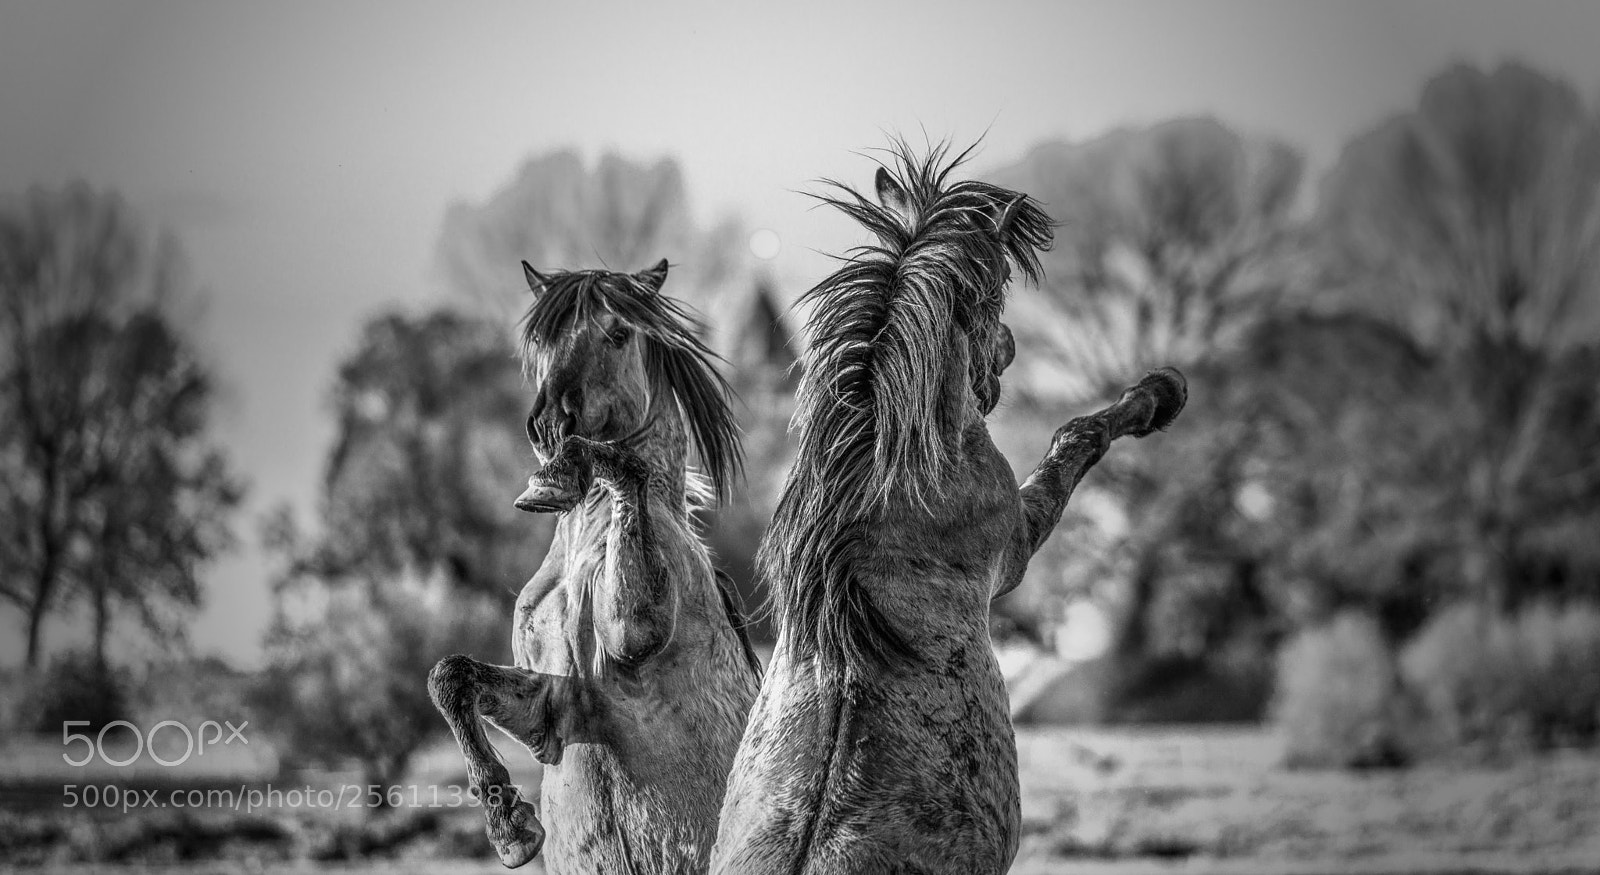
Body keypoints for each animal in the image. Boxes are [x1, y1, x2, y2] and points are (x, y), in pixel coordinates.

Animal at [428, 259, 762, 873]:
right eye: (541, 342)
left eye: (619, 332)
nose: (547, 427)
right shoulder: (552, 711)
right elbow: (451, 677)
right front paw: (512, 830)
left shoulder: (634, 630)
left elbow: (620, 463)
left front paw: (556, 478)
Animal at [710, 145, 1186, 874]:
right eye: (999, 285)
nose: (1008, 354)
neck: (883, 488)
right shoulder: (1015, 545)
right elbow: (1079, 436)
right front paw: (1159, 393)